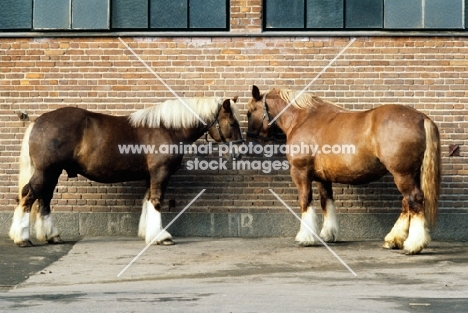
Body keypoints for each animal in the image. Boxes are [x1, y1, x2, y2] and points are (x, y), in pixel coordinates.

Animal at [9, 96, 243, 247]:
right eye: (232, 122)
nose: (240, 152)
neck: (167, 128)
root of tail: (38, 121)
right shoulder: (160, 174)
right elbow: (156, 201)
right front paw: (161, 237)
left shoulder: (150, 176)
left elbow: (147, 200)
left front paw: (148, 233)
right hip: (46, 171)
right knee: (29, 196)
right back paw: (22, 238)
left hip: (52, 172)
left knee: (44, 199)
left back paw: (52, 236)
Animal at [247, 85, 440, 254]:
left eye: (250, 112)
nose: (250, 139)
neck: (302, 118)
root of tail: (422, 118)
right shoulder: (323, 178)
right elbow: (326, 201)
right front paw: (328, 234)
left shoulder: (300, 173)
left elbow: (305, 201)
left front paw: (305, 237)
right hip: (410, 174)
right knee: (407, 203)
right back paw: (393, 240)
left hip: (402, 174)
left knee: (414, 199)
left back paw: (413, 245)